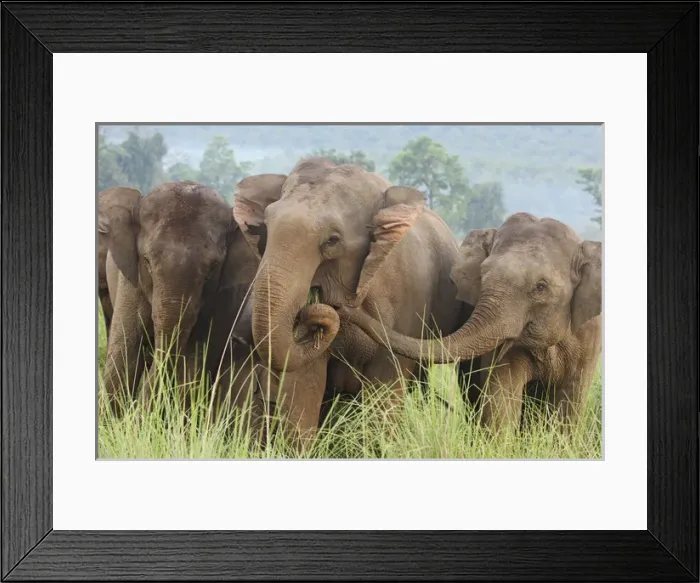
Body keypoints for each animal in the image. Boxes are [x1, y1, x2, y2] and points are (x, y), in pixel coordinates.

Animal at [98, 181, 261, 415]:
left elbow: (195, 358)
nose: (141, 412)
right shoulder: (130, 282)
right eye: (146, 261)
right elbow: (126, 350)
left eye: (212, 269)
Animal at [231, 157, 467, 439]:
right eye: (266, 229)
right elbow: (306, 387)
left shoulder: (409, 302)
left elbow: (385, 392)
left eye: (332, 240)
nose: (331, 307)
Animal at [337, 212, 602, 430]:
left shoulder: (590, 336)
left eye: (541, 287)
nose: (342, 305)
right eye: (482, 276)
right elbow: (501, 396)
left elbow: (570, 402)